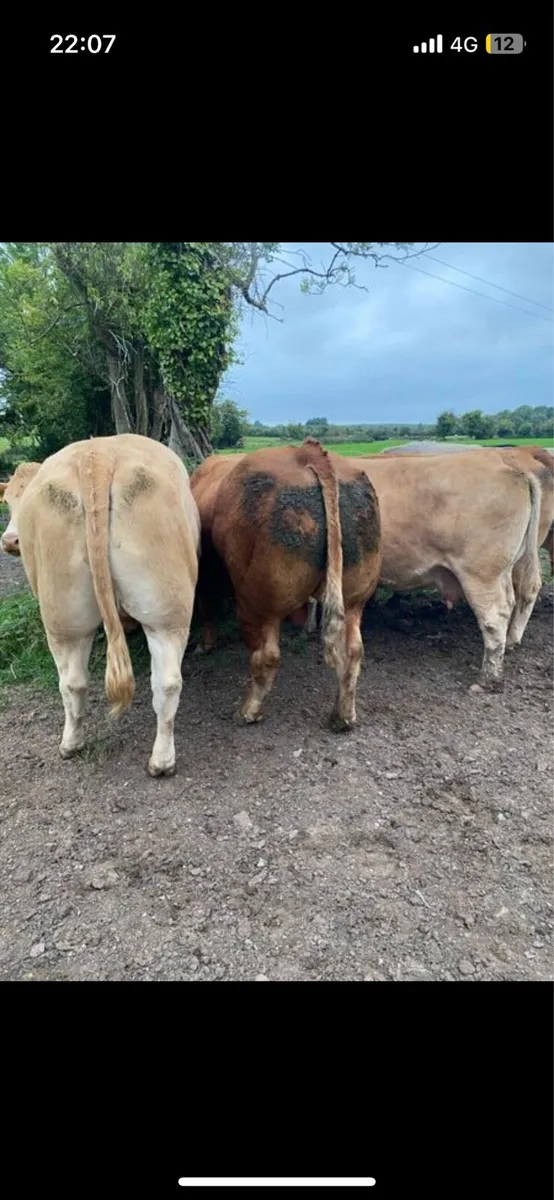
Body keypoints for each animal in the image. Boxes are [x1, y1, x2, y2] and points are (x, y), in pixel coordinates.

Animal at [190, 438, 382, 731]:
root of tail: (307, 452)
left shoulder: (204, 575)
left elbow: (208, 608)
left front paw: (205, 645)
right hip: (354, 597)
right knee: (353, 650)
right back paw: (343, 716)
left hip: (257, 603)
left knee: (266, 656)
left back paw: (248, 711)